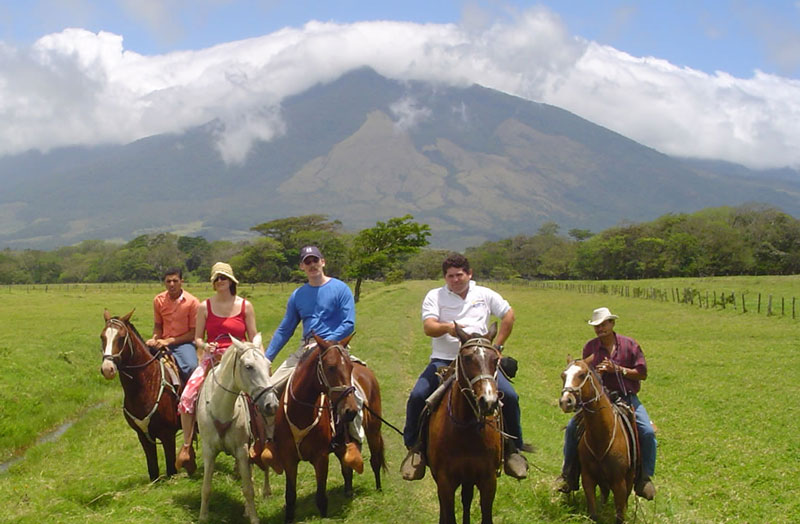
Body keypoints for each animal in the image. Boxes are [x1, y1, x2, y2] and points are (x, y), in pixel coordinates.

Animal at [100, 310, 181, 482]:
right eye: (102, 337)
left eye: (121, 337)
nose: (107, 369)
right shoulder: (142, 436)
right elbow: (153, 470)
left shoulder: (168, 435)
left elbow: (171, 469)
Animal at [197, 334, 278, 524]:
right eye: (249, 367)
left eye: (268, 365)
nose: (272, 405)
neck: (221, 408)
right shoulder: (208, 450)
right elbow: (206, 487)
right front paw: (203, 516)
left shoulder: (242, 449)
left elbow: (248, 488)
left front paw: (254, 517)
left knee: (264, 466)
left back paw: (266, 492)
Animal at [268, 334, 384, 520]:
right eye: (331, 367)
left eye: (350, 367)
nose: (351, 410)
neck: (300, 412)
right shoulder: (288, 459)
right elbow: (290, 497)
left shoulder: (321, 458)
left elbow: (321, 498)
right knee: (346, 467)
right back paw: (348, 492)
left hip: (373, 430)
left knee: (375, 460)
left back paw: (379, 490)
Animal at [428, 324, 504, 524]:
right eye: (467, 358)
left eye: (495, 359)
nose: (489, 401)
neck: (466, 430)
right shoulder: (445, 481)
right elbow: (448, 515)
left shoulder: (488, 481)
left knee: (467, 498)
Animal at [560, 352, 636, 524]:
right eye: (563, 375)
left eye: (582, 375)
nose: (566, 401)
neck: (602, 437)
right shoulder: (588, 479)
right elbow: (593, 513)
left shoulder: (619, 483)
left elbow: (620, 515)